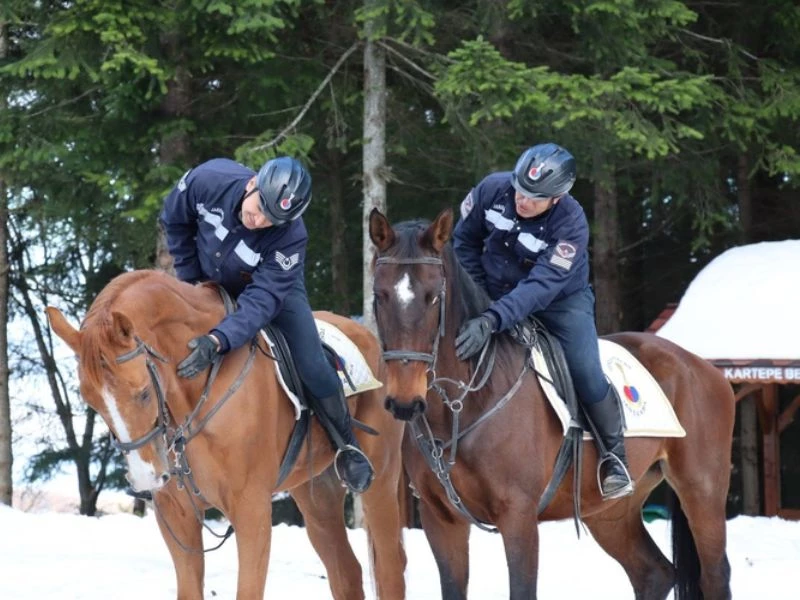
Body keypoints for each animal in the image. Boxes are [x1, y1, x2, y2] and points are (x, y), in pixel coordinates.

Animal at [44, 270, 406, 600]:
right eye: (90, 400)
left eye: (144, 393)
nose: (146, 478)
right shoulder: (176, 516)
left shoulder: (252, 510)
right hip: (316, 495)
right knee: (346, 572)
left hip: (381, 480)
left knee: (390, 565)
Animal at [368, 207, 736, 600]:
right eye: (379, 295)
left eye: (433, 297)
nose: (405, 401)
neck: (461, 406)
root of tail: (701, 366)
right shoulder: (441, 520)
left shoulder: (518, 516)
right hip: (609, 511)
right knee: (652, 573)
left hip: (701, 491)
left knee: (714, 575)